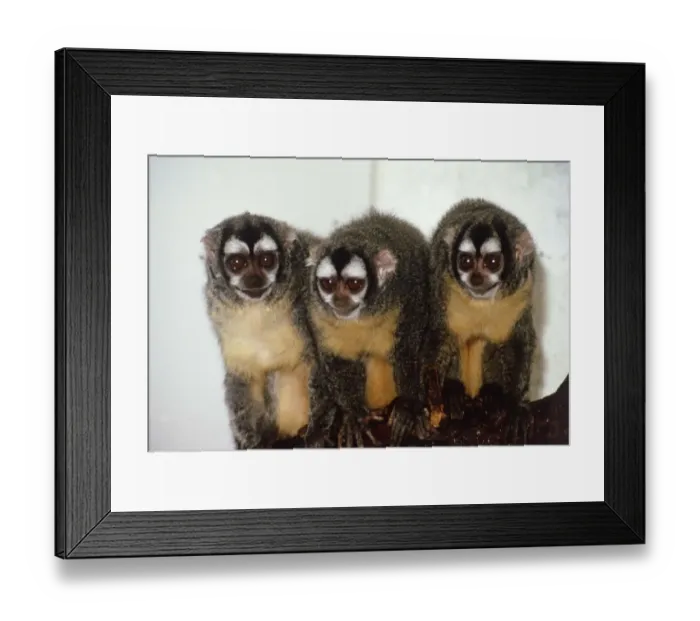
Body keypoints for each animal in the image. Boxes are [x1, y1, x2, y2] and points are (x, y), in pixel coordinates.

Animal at [201, 212, 321, 450]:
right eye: (237, 263)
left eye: (266, 260)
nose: (254, 279)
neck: (258, 310)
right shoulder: (222, 317)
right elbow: (244, 375)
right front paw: (252, 441)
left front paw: (316, 433)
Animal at [302, 208, 433, 448]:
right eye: (328, 283)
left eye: (354, 284)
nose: (339, 300)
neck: (362, 314)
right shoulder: (317, 314)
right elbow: (338, 361)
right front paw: (354, 415)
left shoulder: (408, 292)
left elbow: (408, 350)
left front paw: (409, 406)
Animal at [428, 198, 538, 420]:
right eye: (466, 261)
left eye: (492, 262)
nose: (476, 278)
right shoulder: (442, 286)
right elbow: (440, 340)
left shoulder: (522, 290)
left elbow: (520, 342)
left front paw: (515, 405)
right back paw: (453, 392)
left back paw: (491, 392)